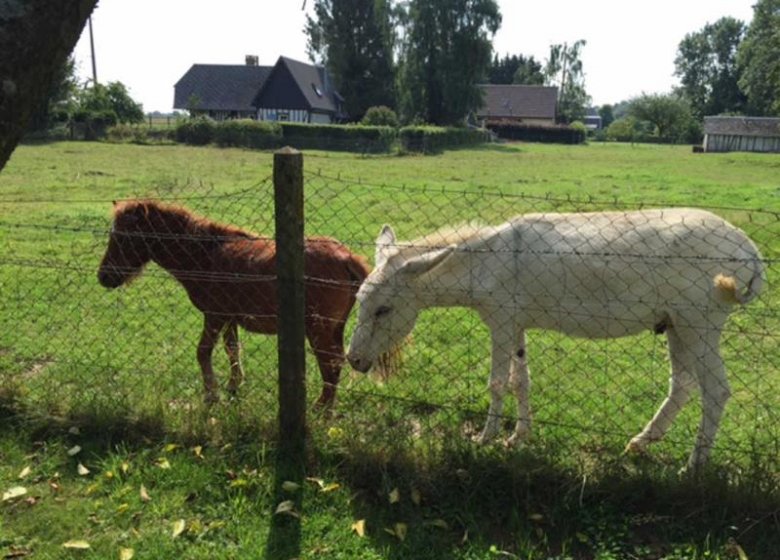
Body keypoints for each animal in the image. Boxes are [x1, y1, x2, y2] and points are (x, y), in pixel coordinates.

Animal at [97, 201, 372, 406]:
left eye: (126, 238)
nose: (103, 277)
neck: (206, 255)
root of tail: (346, 257)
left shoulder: (214, 315)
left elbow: (203, 352)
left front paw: (211, 394)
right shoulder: (230, 318)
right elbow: (232, 350)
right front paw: (233, 386)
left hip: (318, 329)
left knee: (330, 363)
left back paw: (322, 409)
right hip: (333, 328)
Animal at [346, 209, 760, 468]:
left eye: (383, 311)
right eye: (358, 302)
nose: (353, 361)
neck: (486, 263)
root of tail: (749, 249)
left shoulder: (500, 322)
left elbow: (497, 383)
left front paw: (484, 439)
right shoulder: (516, 325)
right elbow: (521, 381)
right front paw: (518, 437)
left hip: (699, 325)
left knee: (716, 391)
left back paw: (694, 466)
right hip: (676, 325)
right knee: (683, 386)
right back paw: (641, 443)